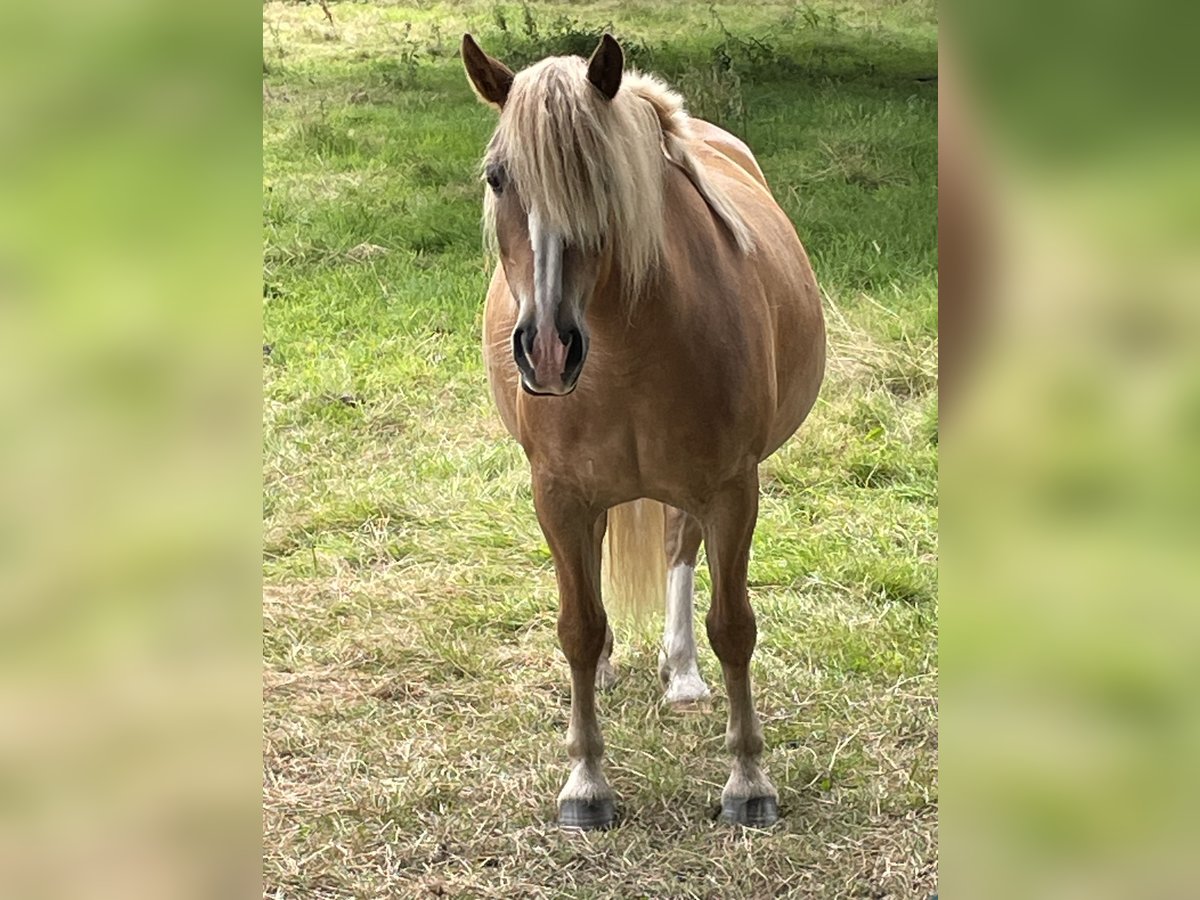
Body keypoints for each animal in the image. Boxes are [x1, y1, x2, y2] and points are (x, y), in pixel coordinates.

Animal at [458, 31, 825, 835]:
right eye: (499, 178)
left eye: (601, 181)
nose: (547, 350)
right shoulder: (559, 495)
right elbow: (578, 625)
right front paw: (585, 783)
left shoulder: (732, 489)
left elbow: (734, 627)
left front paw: (748, 780)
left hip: (694, 491)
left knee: (679, 551)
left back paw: (682, 672)